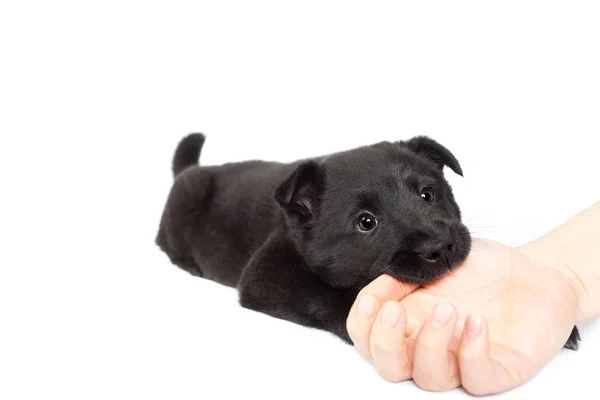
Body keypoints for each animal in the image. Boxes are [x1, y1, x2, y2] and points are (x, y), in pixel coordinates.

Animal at [156, 132, 580, 350]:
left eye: (428, 194)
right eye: (366, 223)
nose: (440, 247)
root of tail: (191, 170)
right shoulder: (266, 275)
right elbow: (323, 295)